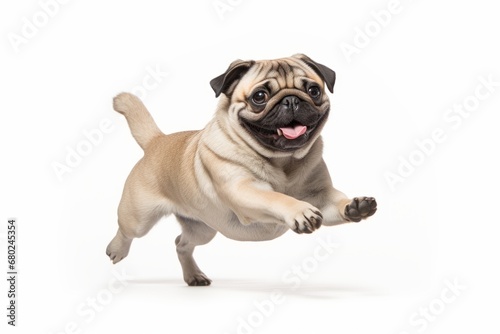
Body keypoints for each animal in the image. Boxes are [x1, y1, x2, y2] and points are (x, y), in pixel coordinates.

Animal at [106, 53, 378, 286]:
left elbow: (336, 201)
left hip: (202, 229)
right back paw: (115, 250)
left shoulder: (320, 196)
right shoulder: (244, 191)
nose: (292, 99)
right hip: (138, 218)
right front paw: (299, 210)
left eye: (313, 90)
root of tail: (156, 140)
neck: (284, 161)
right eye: (259, 96)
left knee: (181, 243)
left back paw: (193, 275)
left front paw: (355, 206)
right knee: (126, 231)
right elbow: (276, 198)